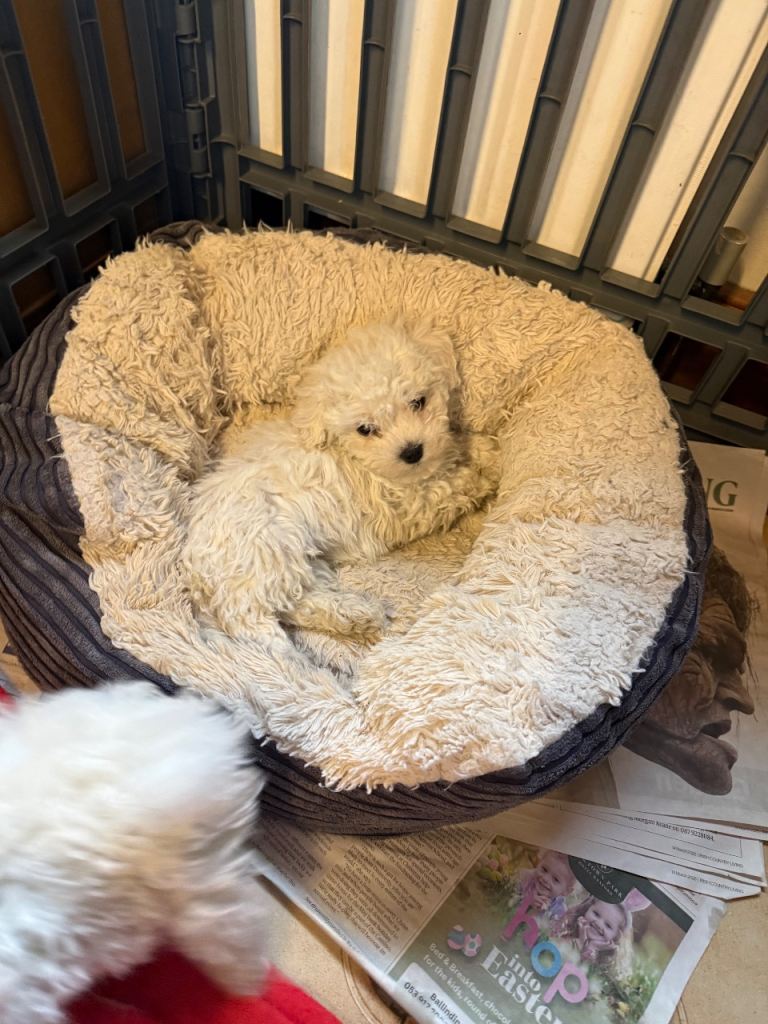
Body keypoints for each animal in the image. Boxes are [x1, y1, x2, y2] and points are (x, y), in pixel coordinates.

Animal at [183, 320, 500, 640]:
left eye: (418, 402)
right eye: (365, 429)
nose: (412, 451)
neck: (348, 453)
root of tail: (196, 572)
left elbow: (454, 448)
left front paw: (486, 449)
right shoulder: (401, 505)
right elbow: (444, 490)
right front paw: (480, 477)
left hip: (301, 561)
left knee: (297, 601)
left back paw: (356, 615)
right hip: (267, 549)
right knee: (258, 614)